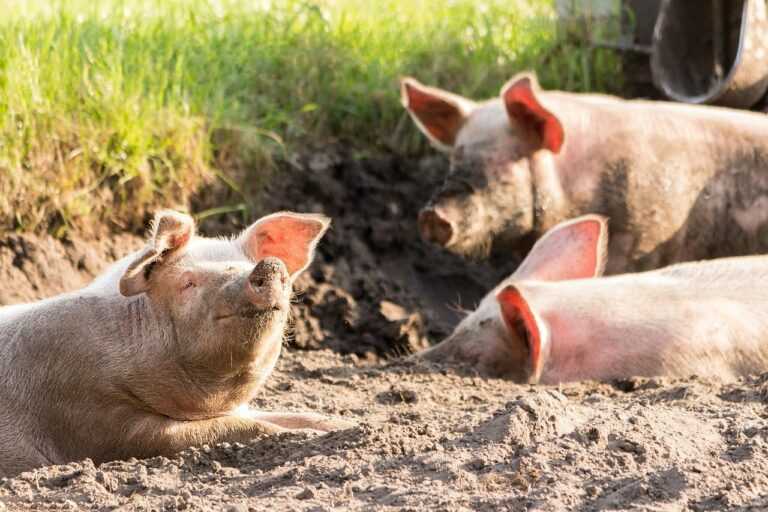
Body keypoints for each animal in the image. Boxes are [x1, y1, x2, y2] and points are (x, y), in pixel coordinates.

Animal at [0, 210, 351, 477]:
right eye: (188, 283)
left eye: (244, 263)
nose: (268, 264)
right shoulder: (94, 418)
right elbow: (233, 428)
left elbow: (289, 416)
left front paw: (345, 425)